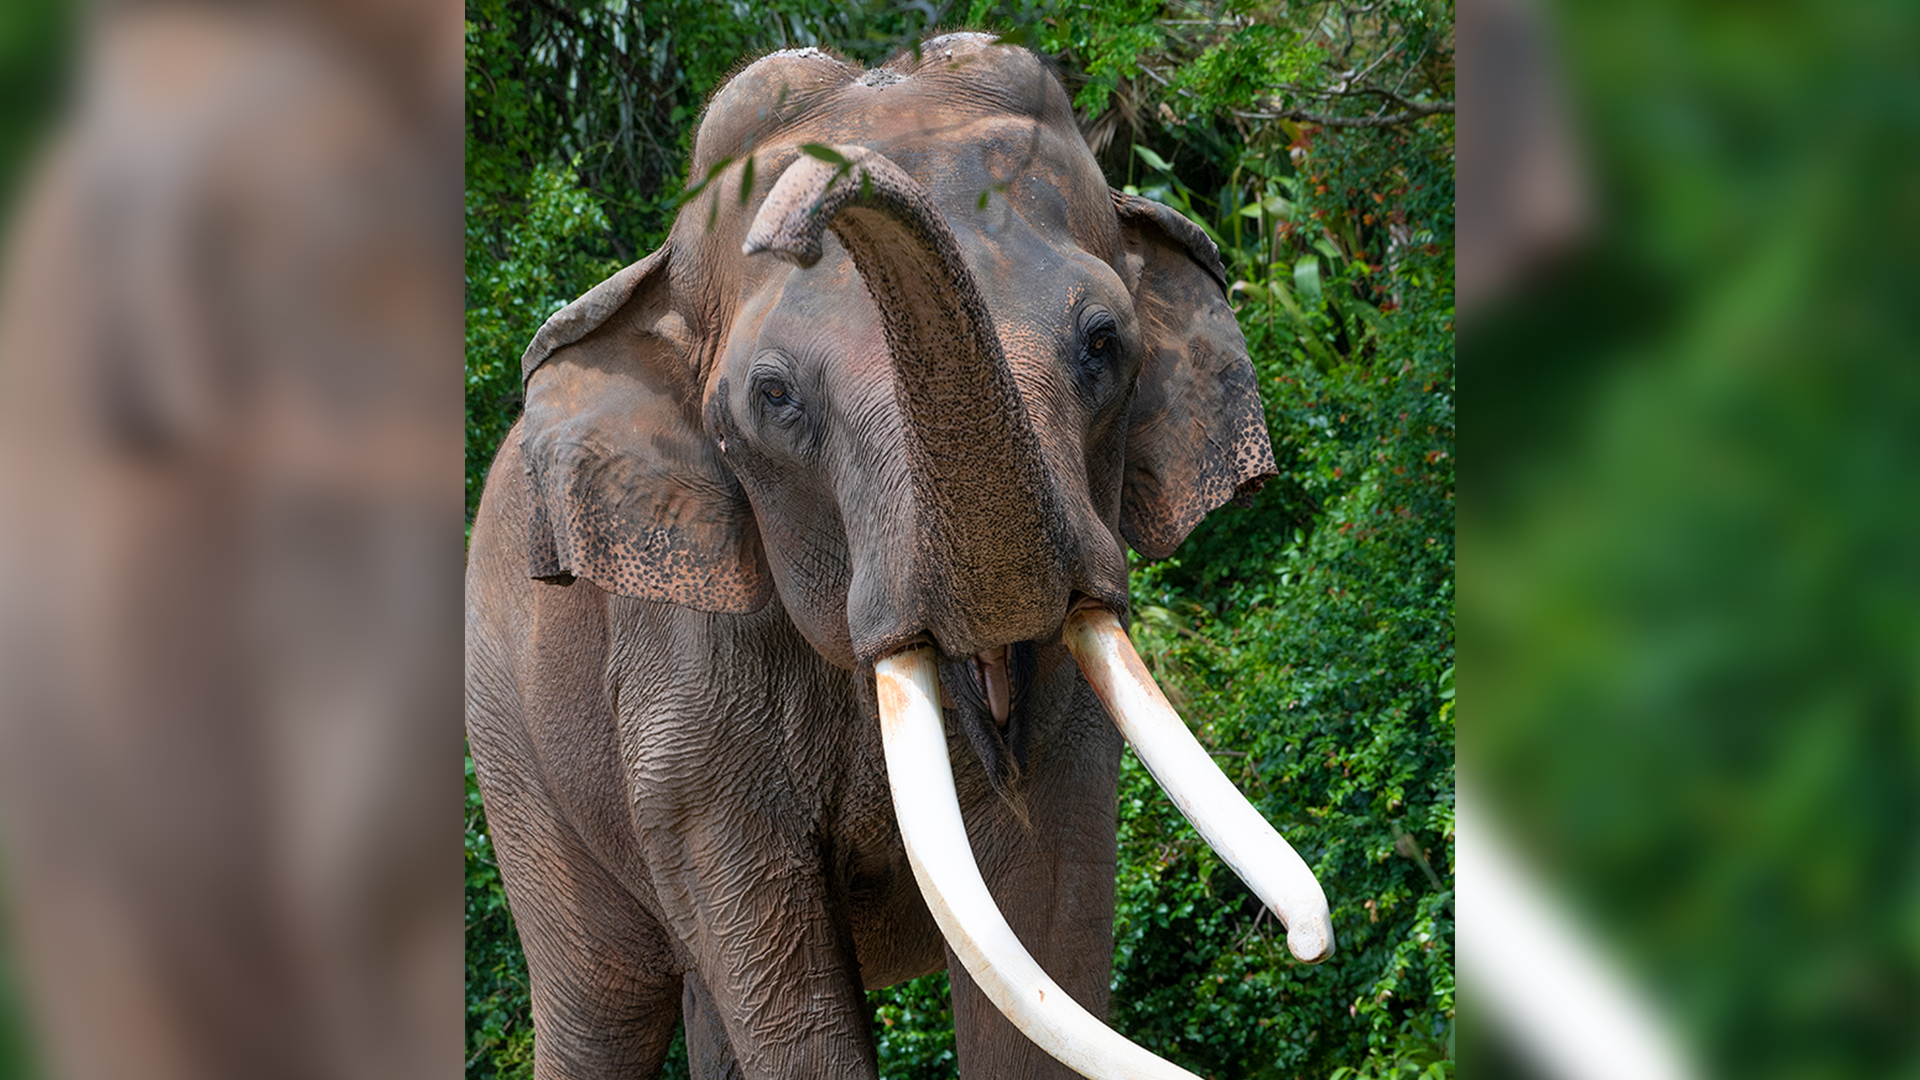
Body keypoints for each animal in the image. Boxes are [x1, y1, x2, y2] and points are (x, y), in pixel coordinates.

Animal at [464, 33, 1336, 1076]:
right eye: (775, 396)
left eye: (1103, 342)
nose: (792, 219)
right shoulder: (683, 687)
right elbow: (779, 975)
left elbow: (1042, 917)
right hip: (513, 756)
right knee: (602, 1002)